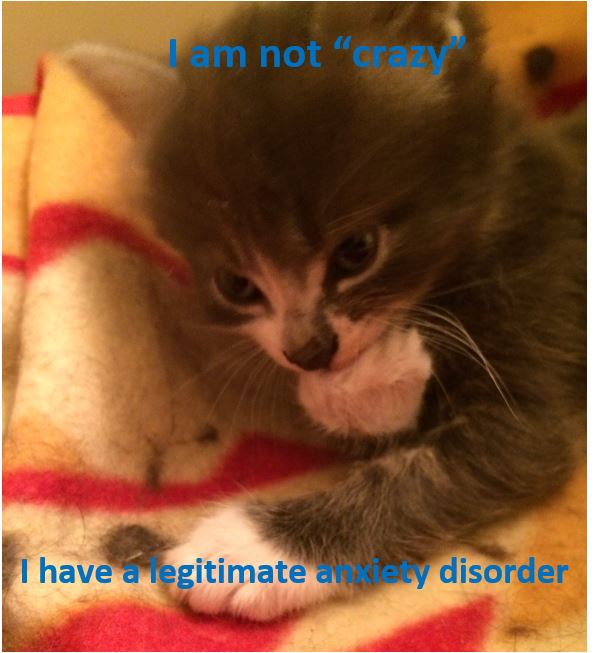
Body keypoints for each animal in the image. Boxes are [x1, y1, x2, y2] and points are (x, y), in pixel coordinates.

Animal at [144, 1, 586, 620]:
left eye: (357, 250)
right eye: (236, 285)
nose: (308, 351)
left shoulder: (542, 325)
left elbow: (432, 470)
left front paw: (250, 549)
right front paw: (365, 381)